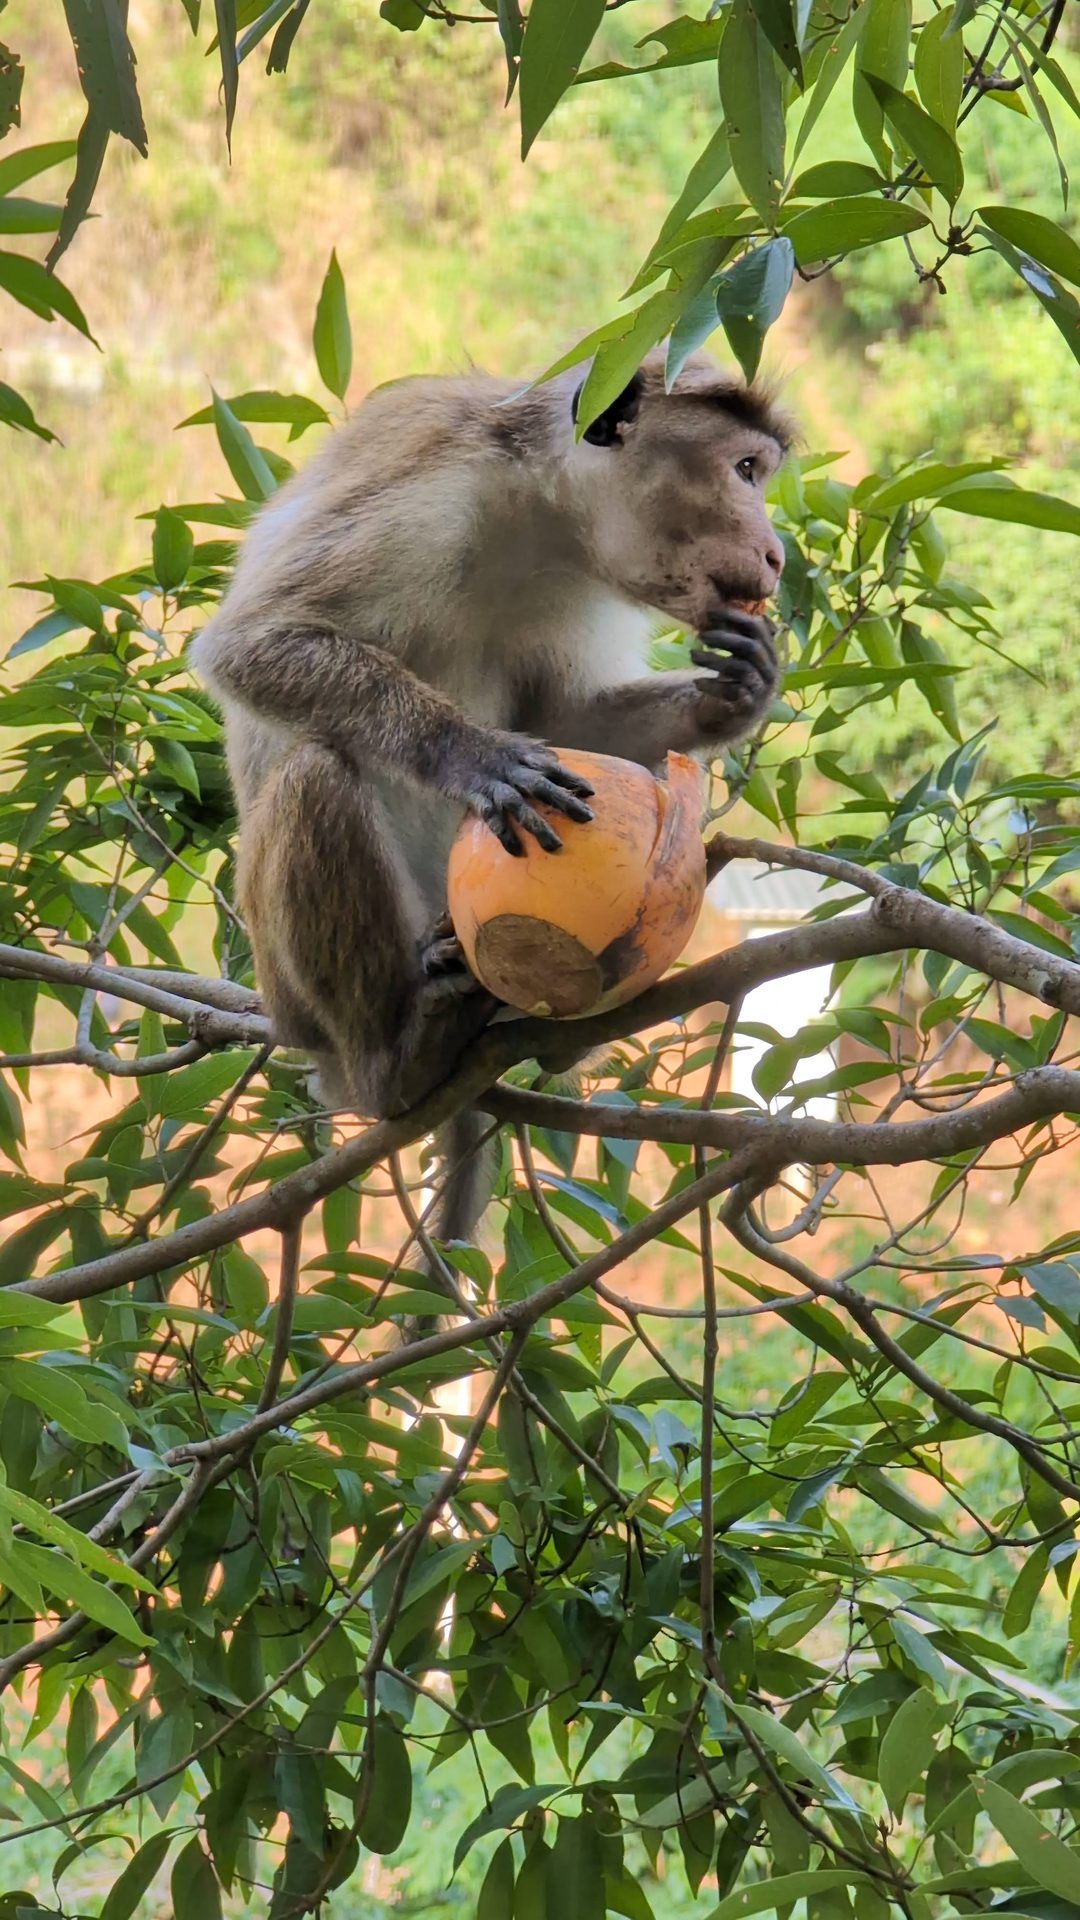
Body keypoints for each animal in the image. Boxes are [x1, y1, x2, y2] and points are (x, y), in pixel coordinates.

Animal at [191, 349, 790, 1252]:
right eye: (745, 470)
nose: (779, 553)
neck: (538, 516)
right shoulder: (426, 486)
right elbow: (255, 642)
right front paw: (475, 755)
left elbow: (569, 723)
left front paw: (737, 692)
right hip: (296, 997)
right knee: (315, 770)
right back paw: (395, 1059)